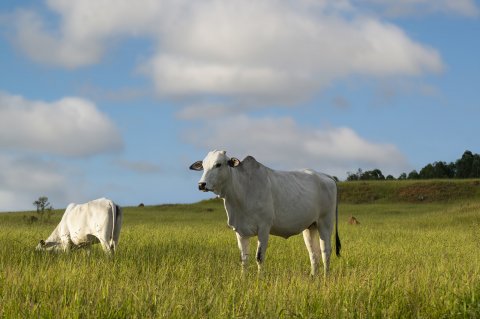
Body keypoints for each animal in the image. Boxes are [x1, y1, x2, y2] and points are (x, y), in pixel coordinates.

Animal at [190, 151, 342, 276]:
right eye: (203, 165)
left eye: (218, 164)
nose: (201, 184)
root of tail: (325, 176)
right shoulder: (240, 231)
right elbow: (244, 258)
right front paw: (243, 278)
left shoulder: (264, 228)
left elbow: (259, 257)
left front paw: (260, 278)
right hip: (310, 227)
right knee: (313, 253)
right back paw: (313, 277)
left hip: (325, 223)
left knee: (325, 251)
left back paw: (326, 277)